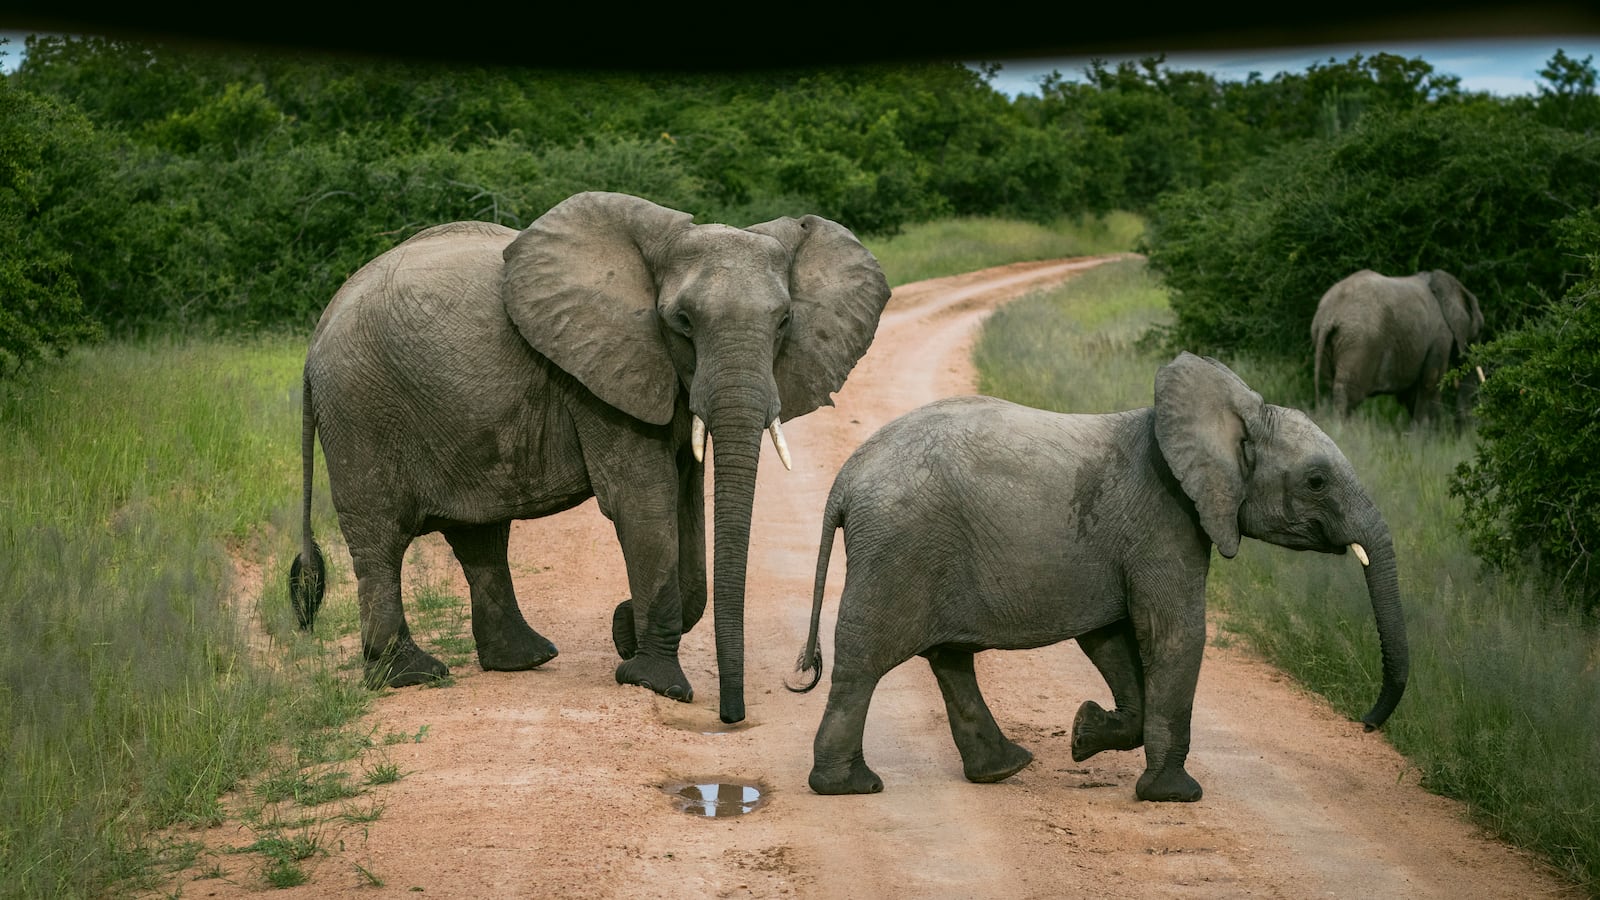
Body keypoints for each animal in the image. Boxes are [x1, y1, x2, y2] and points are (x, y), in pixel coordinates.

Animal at [288, 190, 891, 724]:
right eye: (683, 322)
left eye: (785, 322)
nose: (732, 717)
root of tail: (317, 332)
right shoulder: (601, 376)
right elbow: (643, 503)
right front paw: (657, 683)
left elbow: (687, 504)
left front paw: (625, 635)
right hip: (360, 410)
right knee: (381, 539)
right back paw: (412, 676)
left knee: (480, 536)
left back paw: (524, 659)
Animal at [787, 352, 1407, 801]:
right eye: (1317, 482)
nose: (1367, 723)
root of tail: (845, 480)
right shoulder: (1165, 519)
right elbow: (1175, 635)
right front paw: (1174, 797)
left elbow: (1112, 639)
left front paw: (1084, 735)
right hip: (898, 546)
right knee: (866, 659)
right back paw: (849, 786)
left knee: (949, 658)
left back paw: (1003, 770)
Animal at [1311, 268, 1485, 424]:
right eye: (1479, 329)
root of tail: (1329, 315)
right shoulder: (1441, 336)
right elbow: (1430, 384)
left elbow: (1413, 393)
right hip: (1358, 342)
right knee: (1348, 395)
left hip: (1328, 339)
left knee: (1330, 389)